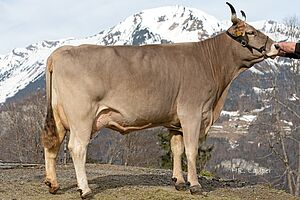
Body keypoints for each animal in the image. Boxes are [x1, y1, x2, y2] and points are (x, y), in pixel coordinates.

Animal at [41, 2, 278, 198]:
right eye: (251, 32)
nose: (276, 46)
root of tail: (59, 52)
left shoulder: (176, 121)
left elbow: (177, 149)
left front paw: (179, 182)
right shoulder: (192, 113)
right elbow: (191, 150)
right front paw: (195, 185)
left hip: (58, 115)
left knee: (51, 142)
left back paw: (53, 184)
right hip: (82, 116)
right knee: (77, 147)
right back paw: (85, 189)